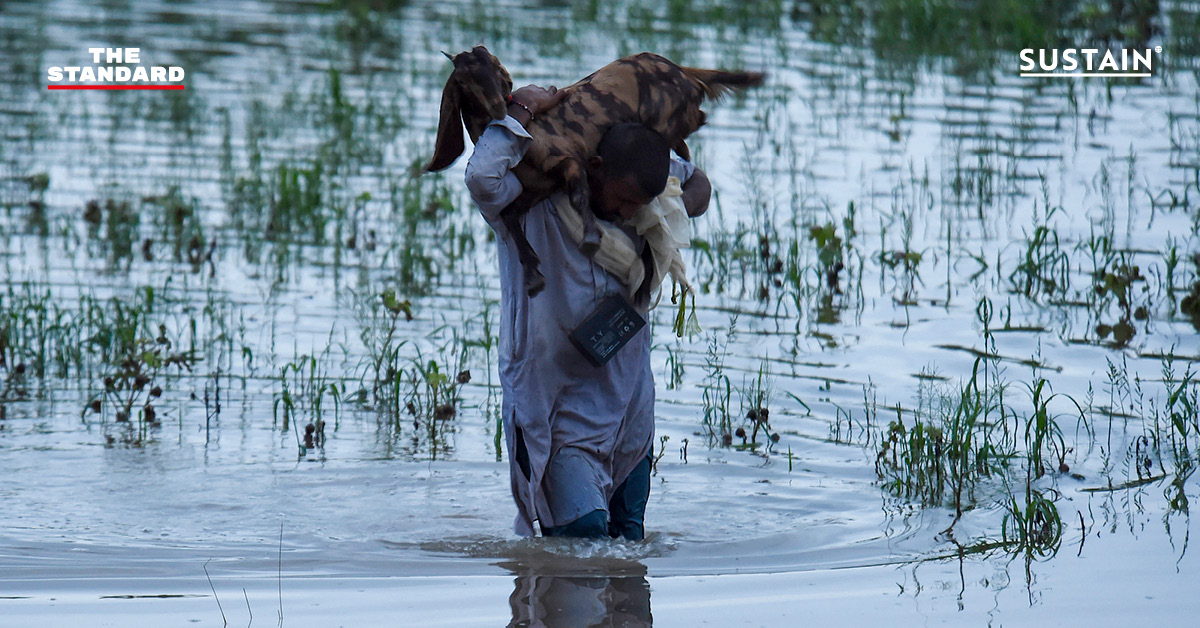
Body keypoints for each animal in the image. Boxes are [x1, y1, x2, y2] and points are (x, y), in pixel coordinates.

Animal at [422, 46, 758, 297]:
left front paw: (591, 238)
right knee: (686, 146)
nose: (499, 108)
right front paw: (533, 275)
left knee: (695, 123)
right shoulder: (536, 188)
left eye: (496, 70)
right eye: (464, 79)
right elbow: (508, 216)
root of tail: (683, 71)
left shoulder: (567, 159)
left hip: (668, 116)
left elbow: (579, 194)